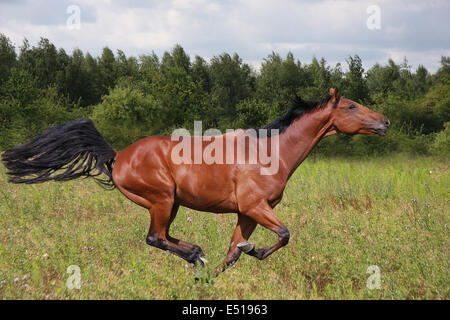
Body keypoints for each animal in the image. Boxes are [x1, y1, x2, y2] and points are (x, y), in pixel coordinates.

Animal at [0, 88, 390, 278]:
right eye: (352, 107)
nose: (385, 122)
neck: (270, 152)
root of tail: (117, 154)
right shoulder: (255, 207)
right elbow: (283, 235)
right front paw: (248, 255)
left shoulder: (247, 213)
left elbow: (234, 252)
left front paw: (212, 279)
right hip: (160, 199)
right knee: (154, 238)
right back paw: (195, 256)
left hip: (171, 204)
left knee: (165, 237)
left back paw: (197, 257)